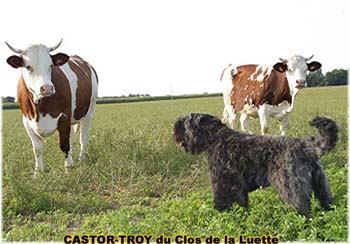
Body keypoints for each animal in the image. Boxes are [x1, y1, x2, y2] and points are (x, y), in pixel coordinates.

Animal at [5, 39, 98, 173]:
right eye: (28, 67)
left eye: (51, 66)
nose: (47, 88)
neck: (39, 107)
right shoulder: (27, 121)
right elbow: (37, 149)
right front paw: (38, 172)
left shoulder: (64, 117)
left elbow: (64, 145)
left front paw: (68, 168)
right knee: (73, 137)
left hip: (89, 110)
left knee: (83, 137)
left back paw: (81, 159)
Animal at [174, 113, 338, 216]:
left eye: (185, 123)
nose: (174, 131)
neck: (215, 138)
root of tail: (306, 145)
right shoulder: (239, 188)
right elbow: (242, 203)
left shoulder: (223, 183)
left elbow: (223, 201)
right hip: (320, 183)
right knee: (327, 202)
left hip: (291, 188)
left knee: (303, 209)